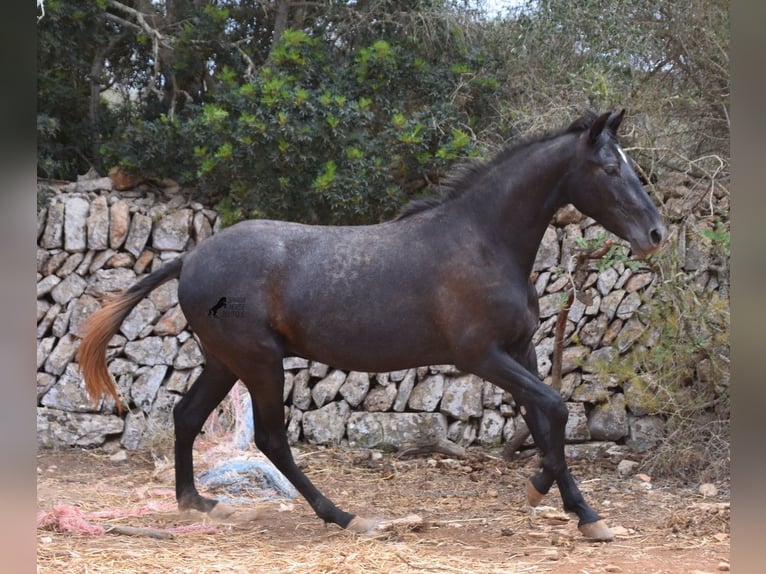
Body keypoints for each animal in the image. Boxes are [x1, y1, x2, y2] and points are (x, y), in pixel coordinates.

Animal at [76, 109, 664, 544]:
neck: (483, 243)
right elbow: (558, 408)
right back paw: (344, 517)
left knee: (187, 415)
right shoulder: (482, 357)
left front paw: (569, 504)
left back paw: (197, 503)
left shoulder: (521, 352)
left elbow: (545, 420)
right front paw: (564, 501)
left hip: (226, 361)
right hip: (259, 361)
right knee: (270, 438)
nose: (655, 233)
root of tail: (190, 258)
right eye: (610, 169)